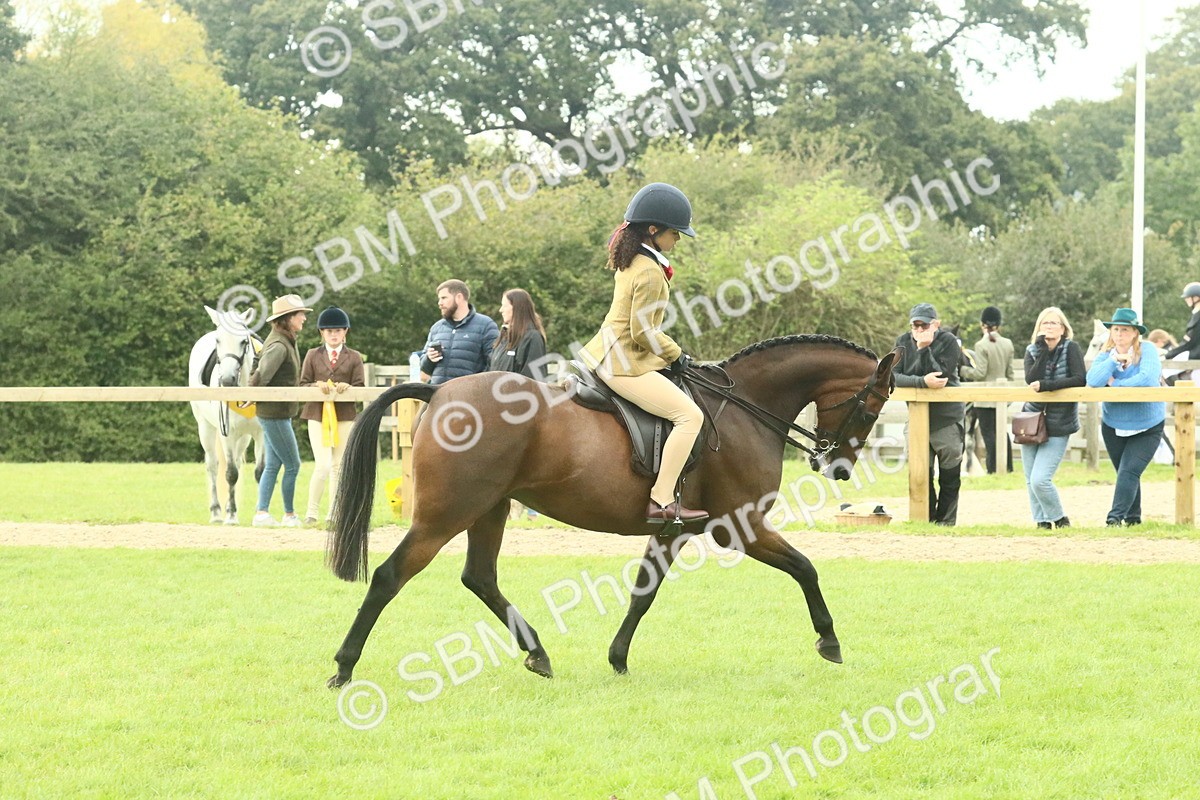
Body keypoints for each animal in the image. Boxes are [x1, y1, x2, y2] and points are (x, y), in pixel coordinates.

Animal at [187, 306, 264, 525]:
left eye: (244, 341)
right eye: (218, 340)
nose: (228, 379)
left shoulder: (261, 434)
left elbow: (259, 472)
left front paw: (259, 514)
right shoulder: (227, 434)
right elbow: (230, 474)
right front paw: (230, 516)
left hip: (244, 437)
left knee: (237, 462)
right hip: (205, 428)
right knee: (213, 465)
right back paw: (216, 512)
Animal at [325, 334, 902, 688]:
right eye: (872, 406)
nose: (839, 468)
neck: (745, 409)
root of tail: (440, 390)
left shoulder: (674, 530)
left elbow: (644, 592)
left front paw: (618, 658)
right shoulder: (740, 527)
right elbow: (806, 567)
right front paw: (829, 640)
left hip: (489, 509)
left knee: (479, 578)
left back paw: (537, 653)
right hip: (447, 515)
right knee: (389, 576)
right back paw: (343, 668)